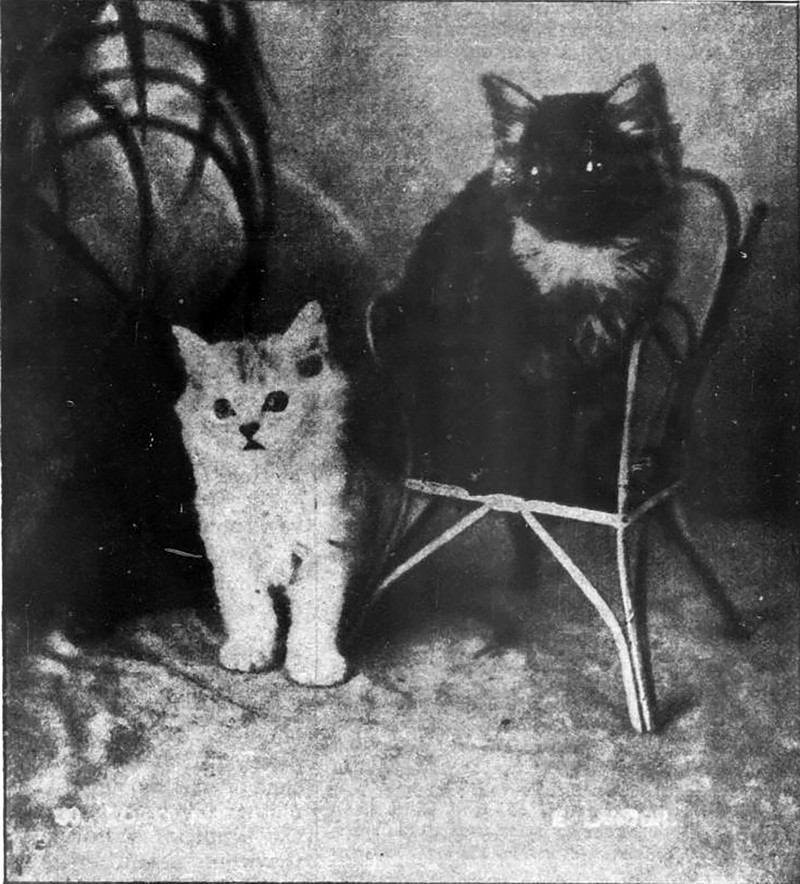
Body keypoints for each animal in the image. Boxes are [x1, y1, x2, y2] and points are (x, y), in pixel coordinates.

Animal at [172, 301, 367, 686]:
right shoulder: (232, 551)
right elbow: (250, 607)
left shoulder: (325, 549)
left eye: (276, 401)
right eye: (222, 408)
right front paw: (249, 650)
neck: (267, 482)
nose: (248, 429)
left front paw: (315, 664)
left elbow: (315, 616)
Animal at [372, 63, 683, 504]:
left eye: (593, 167)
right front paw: (525, 493)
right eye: (535, 172)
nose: (555, 199)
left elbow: (591, 439)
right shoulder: (519, 366)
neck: (581, 267)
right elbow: (527, 439)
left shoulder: (608, 366)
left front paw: (582, 494)